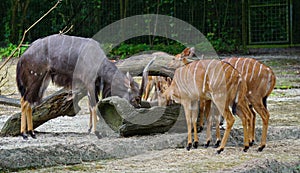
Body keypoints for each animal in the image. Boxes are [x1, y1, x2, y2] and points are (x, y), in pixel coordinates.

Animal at [15, 33, 145, 139]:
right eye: (136, 98)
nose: (138, 107)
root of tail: (22, 57)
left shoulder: (91, 85)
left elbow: (90, 106)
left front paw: (89, 130)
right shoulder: (90, 83)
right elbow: (94, 105)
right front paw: (97, 133)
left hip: (42, 82)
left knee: (28, 102)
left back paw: (32, 133)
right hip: (35, 79)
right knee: (24, 101)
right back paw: (24, 134)